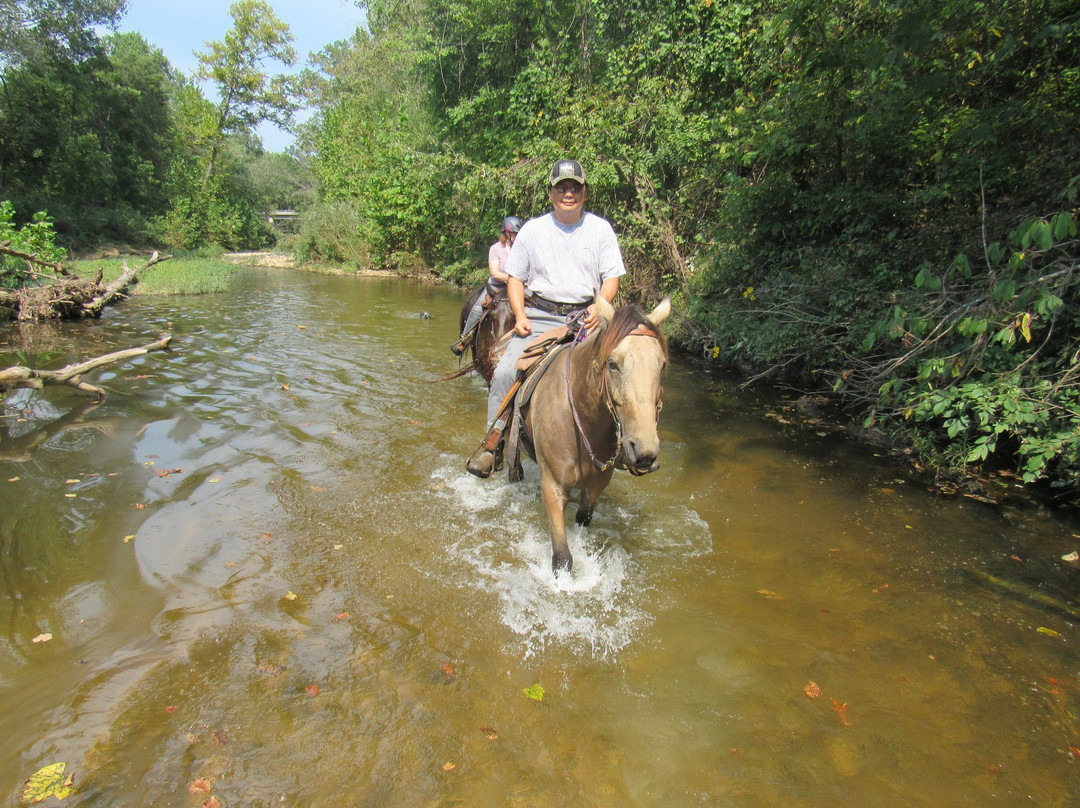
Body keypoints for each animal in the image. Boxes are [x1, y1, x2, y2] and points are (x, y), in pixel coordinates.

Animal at [518, 295, 669, 574]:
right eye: (613, 364)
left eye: (662, 365)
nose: (644, 452)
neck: (581, 422)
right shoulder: (552, 487)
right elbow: (562, 558)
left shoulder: (597, 484)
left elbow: (583, 518)